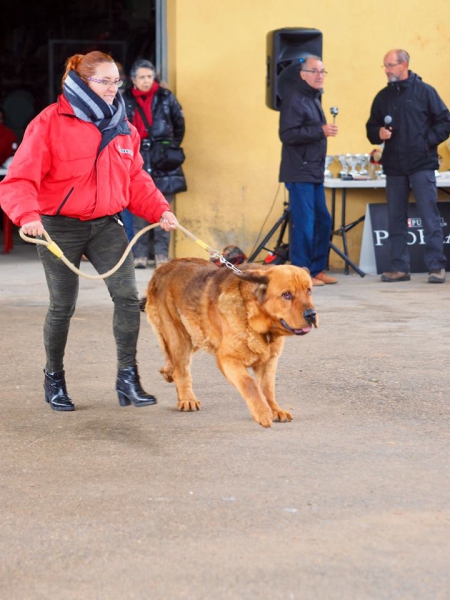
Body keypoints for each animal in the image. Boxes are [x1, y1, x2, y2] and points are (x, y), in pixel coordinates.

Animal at [144, 258, 316, 426]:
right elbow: (250, 384)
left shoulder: (268, 361)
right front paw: (262, 412)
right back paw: (187, 398)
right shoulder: (228, 359)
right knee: (181, 369)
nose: (311, 314)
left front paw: (274, 409)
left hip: (197, 333)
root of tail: (164, 266)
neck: (252, 317)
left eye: (309, 291)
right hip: (179, 338)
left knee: (173, 361)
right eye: (287, 295)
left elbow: (267, 389)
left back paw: (168, 372)